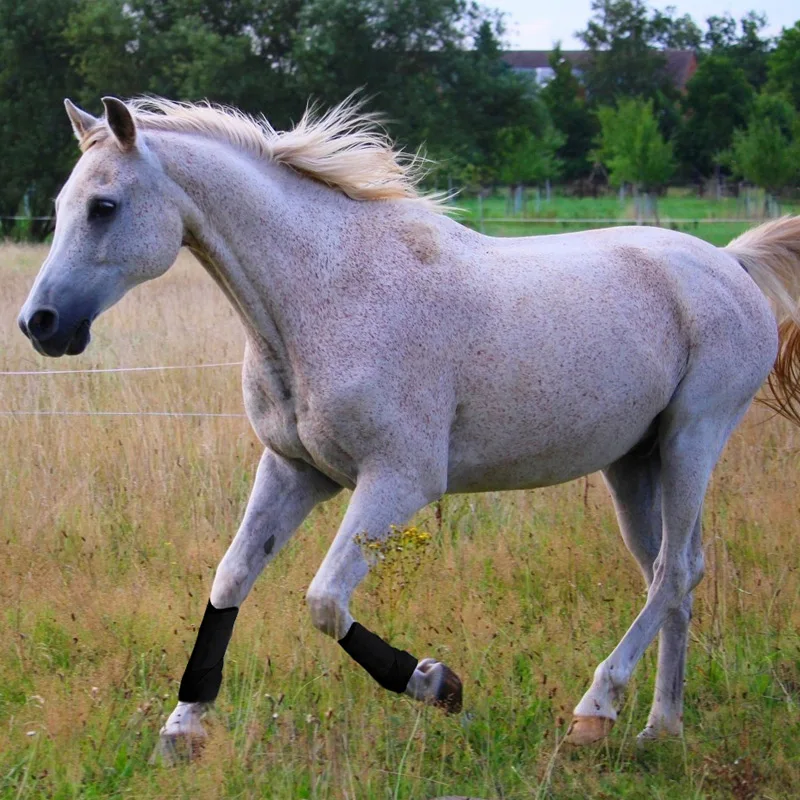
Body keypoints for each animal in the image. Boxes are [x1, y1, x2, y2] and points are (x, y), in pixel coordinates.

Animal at [15, 95, 800, 756]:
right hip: (633, 463)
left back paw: (595, 710)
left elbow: (325, 602)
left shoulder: (399, 481)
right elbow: (231, 579)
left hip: (693, 439)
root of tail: (728, 262)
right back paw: (659, 728)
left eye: (104, 206)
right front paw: (182, 729)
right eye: (59, 206)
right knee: (671, 576)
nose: (40, 324)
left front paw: (437, 684)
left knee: (674, 572)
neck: (323, 294)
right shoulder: (295, 471)